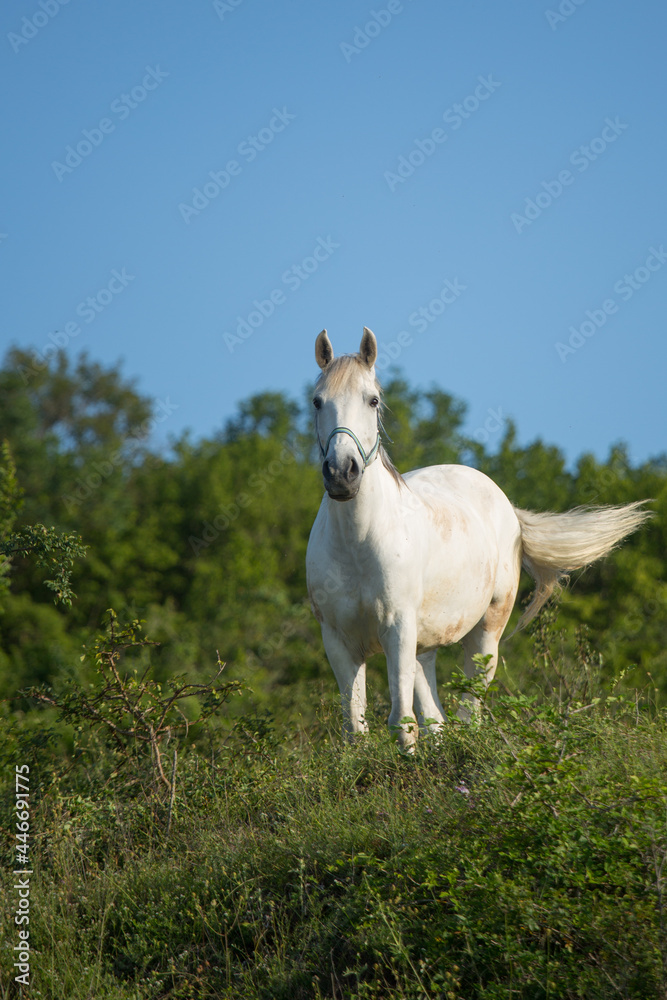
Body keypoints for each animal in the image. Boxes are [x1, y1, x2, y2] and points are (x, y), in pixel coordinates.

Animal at [305, 327, 650, 747]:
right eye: (317, 401)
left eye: (372, 400)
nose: (342, 474)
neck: (357, 546)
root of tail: (506, 505)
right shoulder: (339, 642)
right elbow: (356, 730)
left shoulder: (397, 631)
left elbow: (402, 722)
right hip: (423, 645)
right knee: (437, 717)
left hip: (486, 633)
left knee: (470, 712)